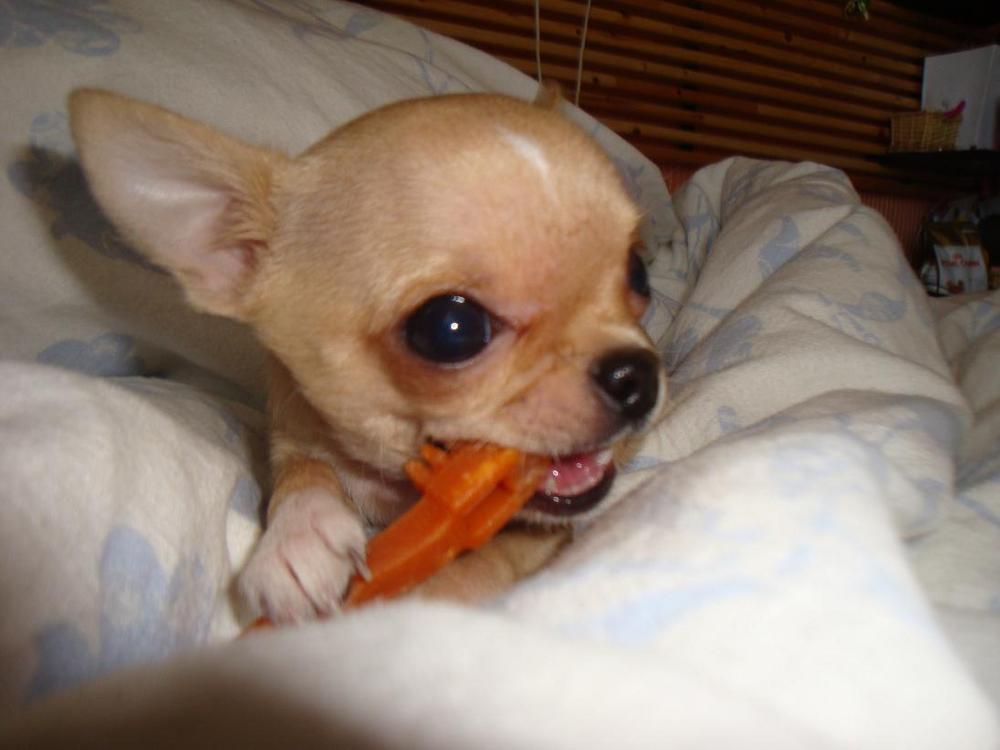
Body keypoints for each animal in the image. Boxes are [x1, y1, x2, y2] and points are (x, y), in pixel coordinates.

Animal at [69, 88, 666, 623]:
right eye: (451, 329)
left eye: (639, 273)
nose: (637, 376)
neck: (393, 488)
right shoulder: (293, 428)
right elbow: (303, 471)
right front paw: (297, 538)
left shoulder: (538, 537)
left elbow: (471, 569)